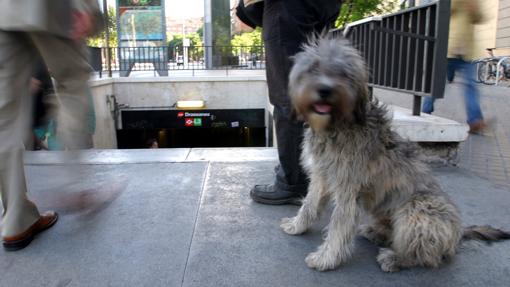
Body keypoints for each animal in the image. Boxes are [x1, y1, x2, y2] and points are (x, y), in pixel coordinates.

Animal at [282, 35, 510, 272]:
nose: (325, 90)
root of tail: (457, 235)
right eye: (313, 69)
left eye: (343, 73)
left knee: (427, 255)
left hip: (418, 209)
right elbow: (309, 204)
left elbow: (339, 225)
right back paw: (376, 232)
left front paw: (326, 257)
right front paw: (297, 225)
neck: (338, 124)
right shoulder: (321, 175)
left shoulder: (349, 188)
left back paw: (396, 258)